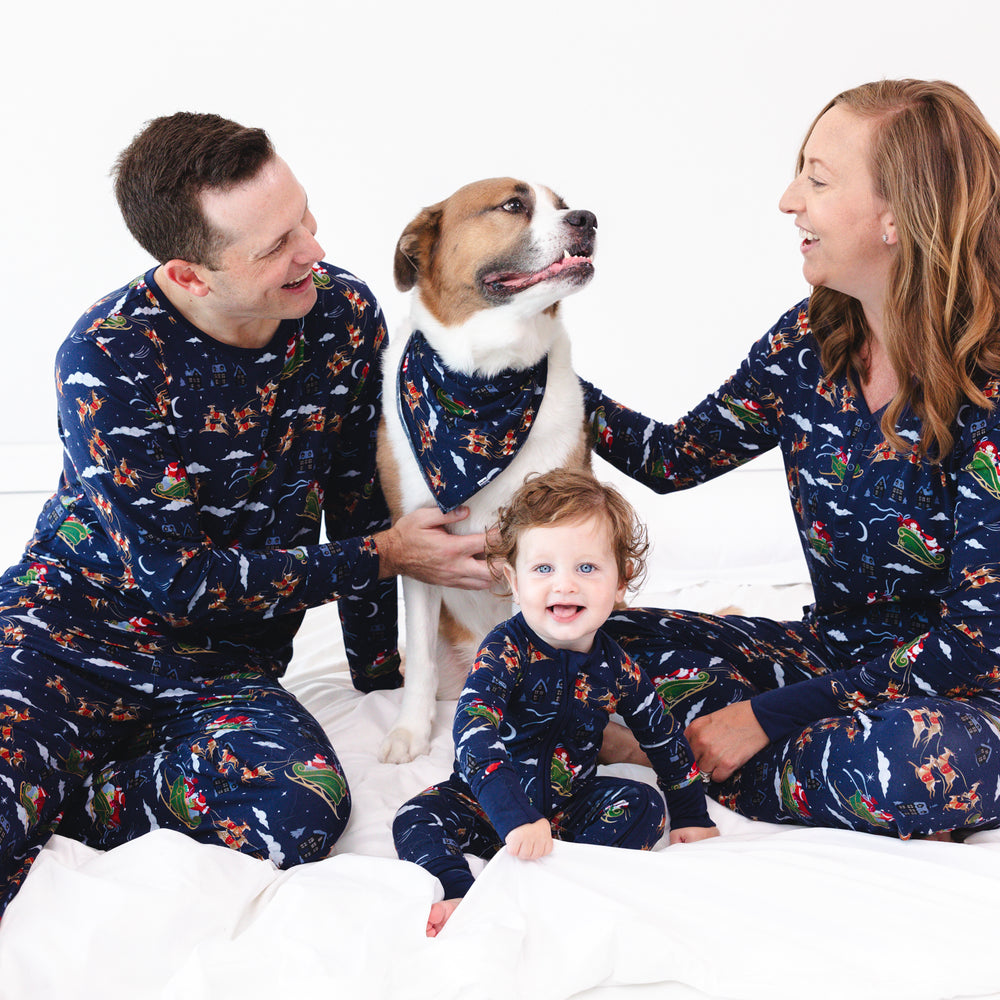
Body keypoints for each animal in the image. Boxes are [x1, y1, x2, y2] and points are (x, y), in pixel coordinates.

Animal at [374, 178, 592, 764]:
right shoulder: (419, 546)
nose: (587, 219)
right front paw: (409, 733)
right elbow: (420, 662)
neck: (485, 378)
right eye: (513, 205)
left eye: (563, 205)